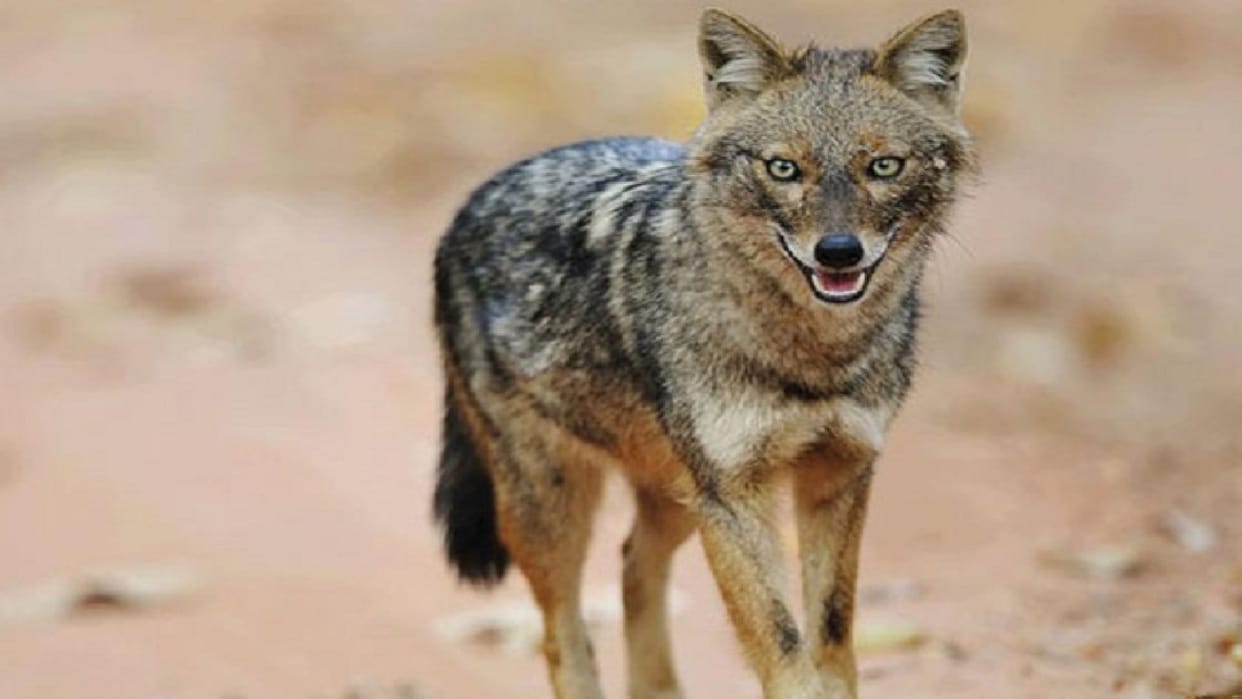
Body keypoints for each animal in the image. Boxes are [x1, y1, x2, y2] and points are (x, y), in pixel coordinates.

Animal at [432, 7, 974, 698]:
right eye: (783, 169)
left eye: (883, 166)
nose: (838, 252)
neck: (813, 357)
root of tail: (472, 200)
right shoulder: (735, 494)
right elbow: (782, 644)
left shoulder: (840, 475)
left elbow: (831, 637)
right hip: (554, 506)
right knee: (564, 635)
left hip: (676, 497)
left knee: (633, 566)